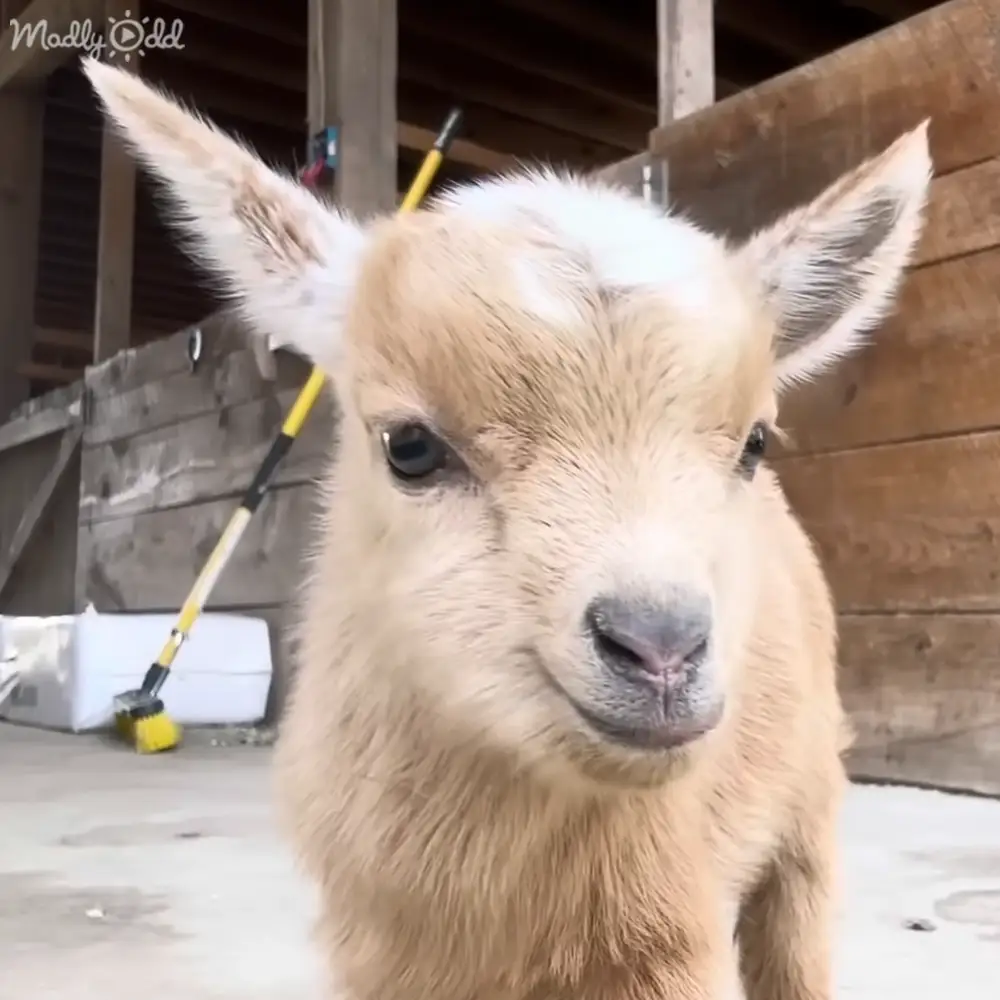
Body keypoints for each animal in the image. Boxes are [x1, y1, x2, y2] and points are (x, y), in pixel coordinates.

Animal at [84, 58, 931, 1000]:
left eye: (753, 442)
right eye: (409, 447)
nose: (660, 649)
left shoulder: (673, 938)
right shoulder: (375, 945)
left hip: (810, 799)